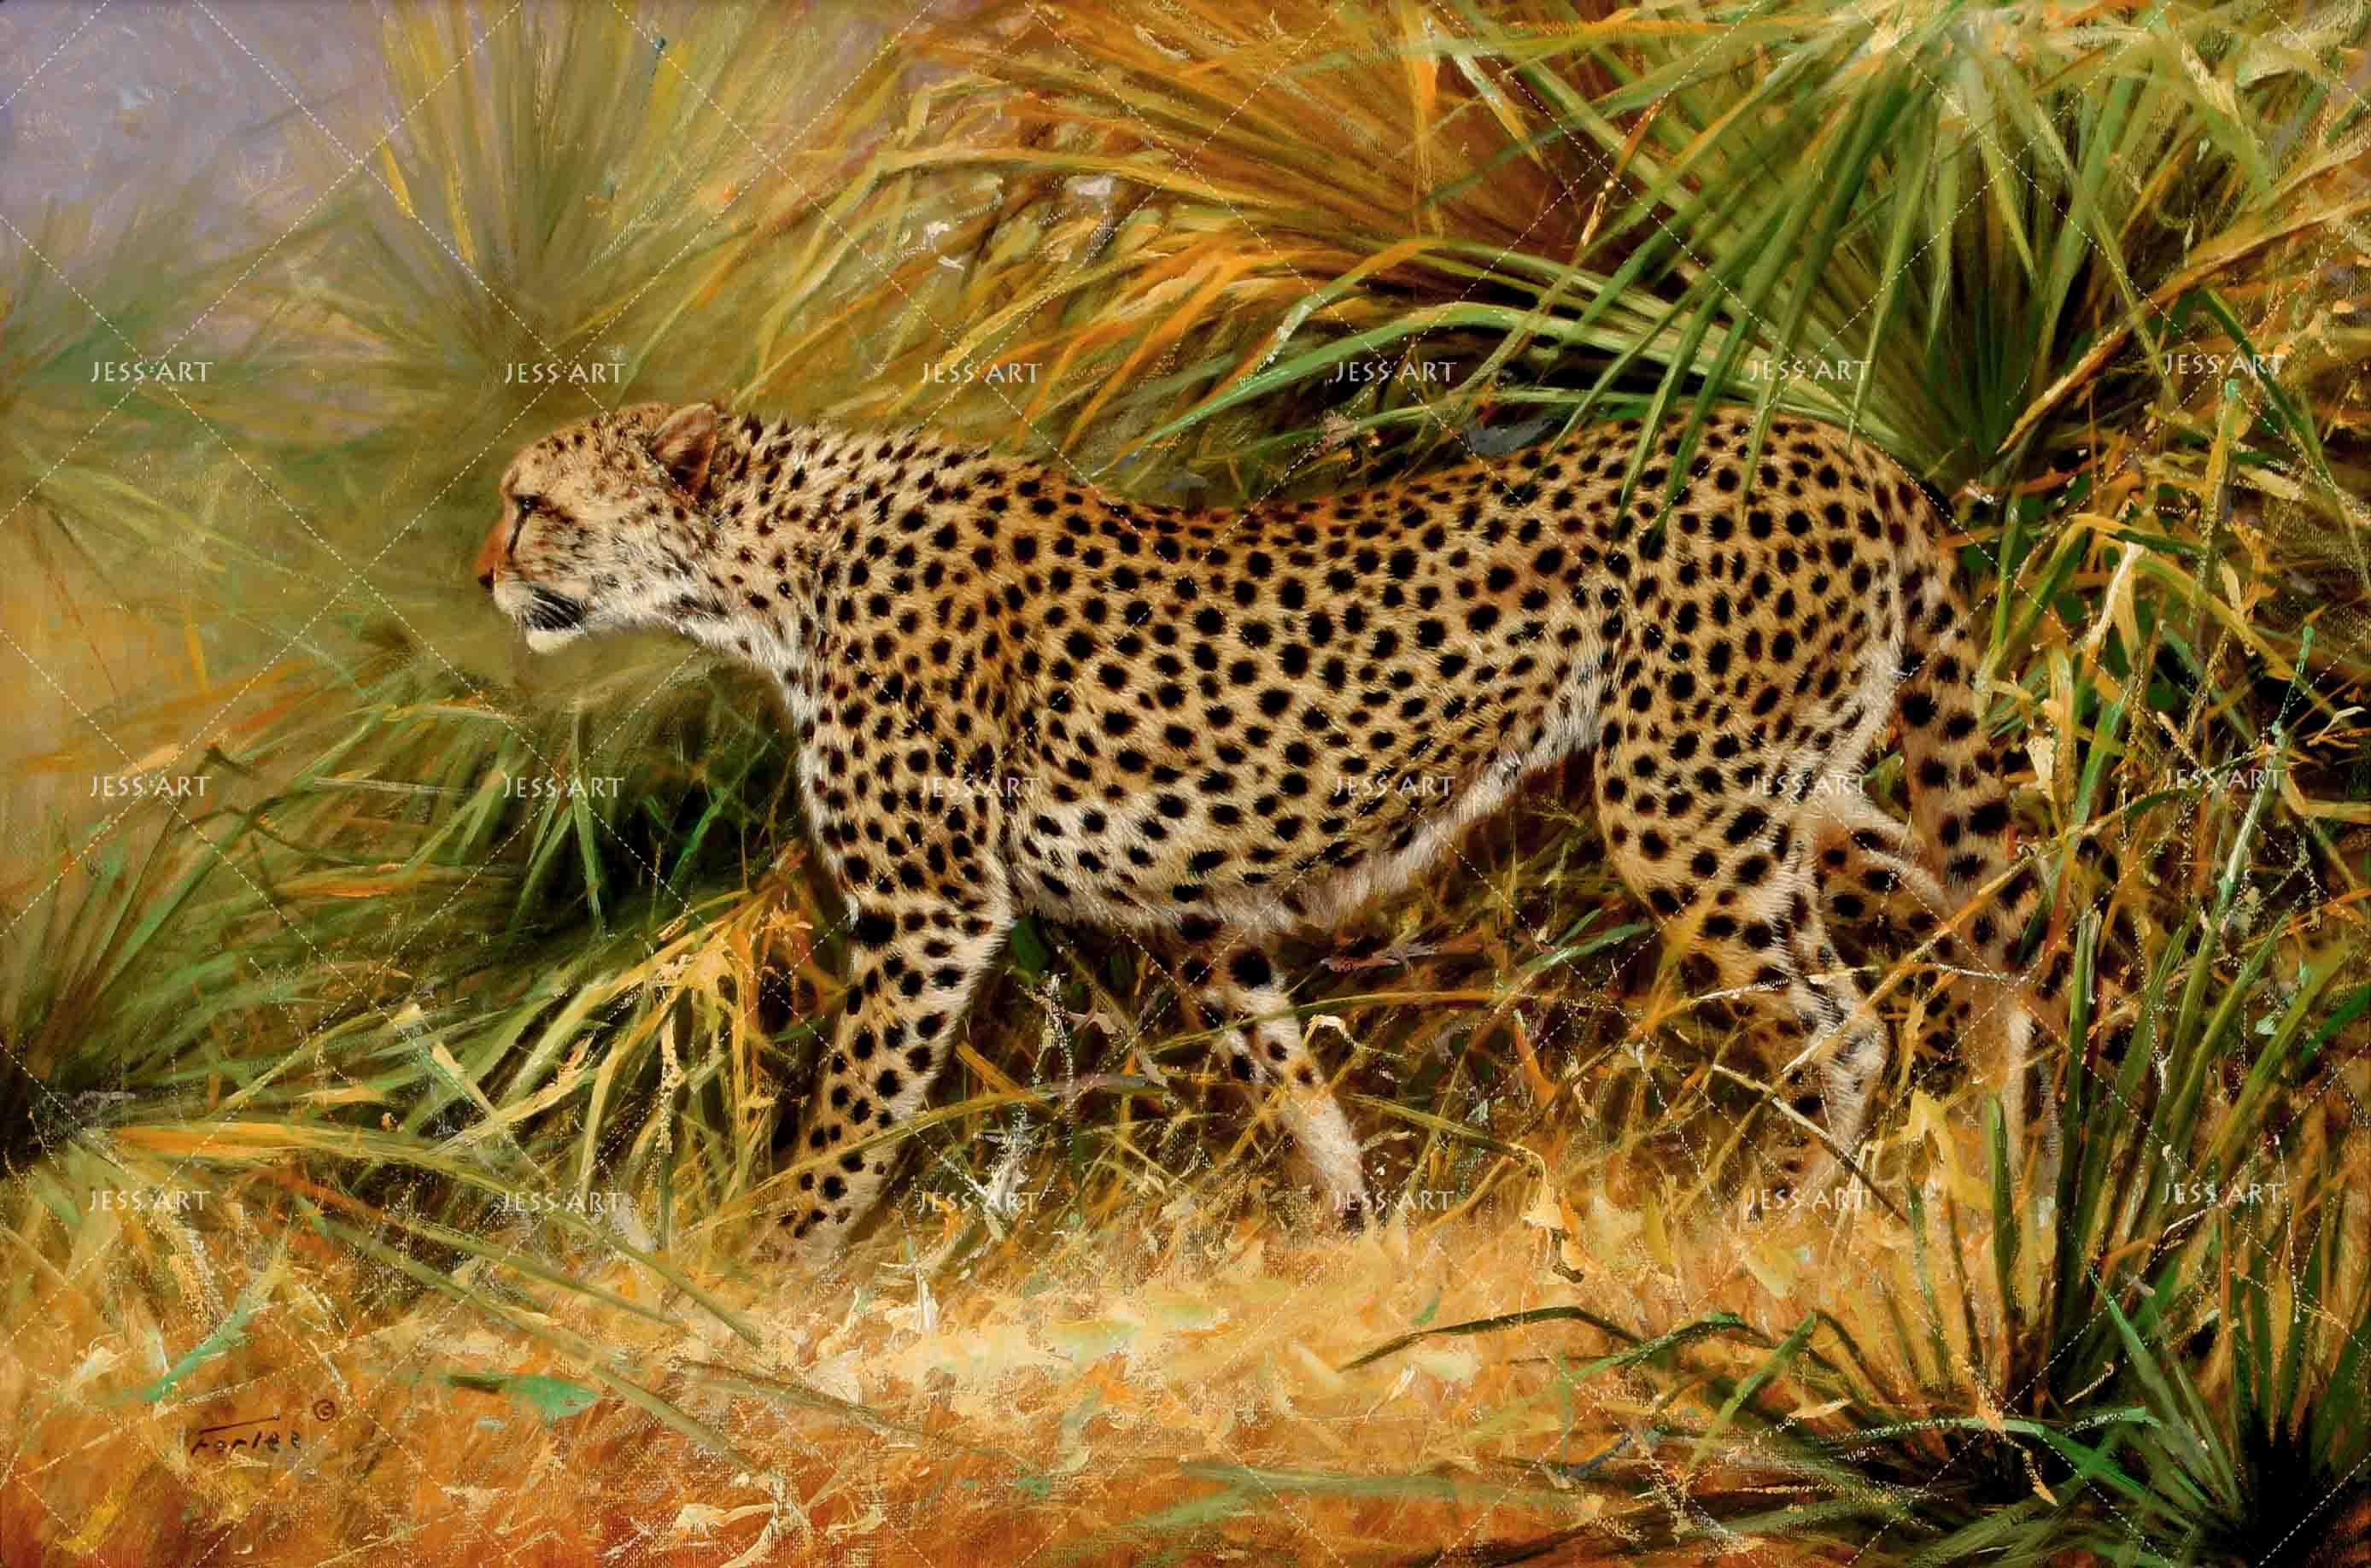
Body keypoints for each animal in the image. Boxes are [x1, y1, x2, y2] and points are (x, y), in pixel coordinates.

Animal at [475, 397, 2068, 1259]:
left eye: (533, 504)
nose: (484, 574)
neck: (765, 567)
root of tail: (1829, 441)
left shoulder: (928, 914)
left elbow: (845, 1118)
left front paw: (764, 1277)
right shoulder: (1197, 916)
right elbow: (1287, 1077)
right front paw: (1352, 1237)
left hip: (1686, 799)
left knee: (1846, 1019)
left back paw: (1798, 1213)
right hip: (1801, 786)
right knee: (1992, 921)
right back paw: (2002, 1161)